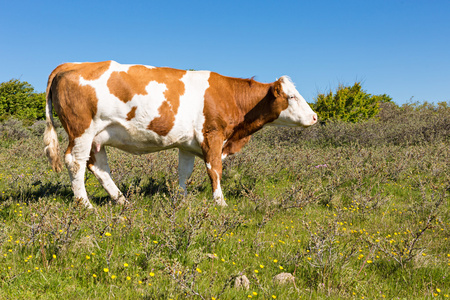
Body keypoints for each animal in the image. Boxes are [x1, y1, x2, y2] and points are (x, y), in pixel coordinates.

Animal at [44, 59, 318, 207]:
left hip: (97, 137)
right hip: (81, 131)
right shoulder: (213, 135)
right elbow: (215, 170)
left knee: (99, 167)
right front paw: (220, 202)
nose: (315, 117)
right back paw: (86, 205)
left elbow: (184, 172)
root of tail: (71, 64)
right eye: (292, 97)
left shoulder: (187, 144)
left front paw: (183, 199)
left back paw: (122, 200)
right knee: (75, 163)